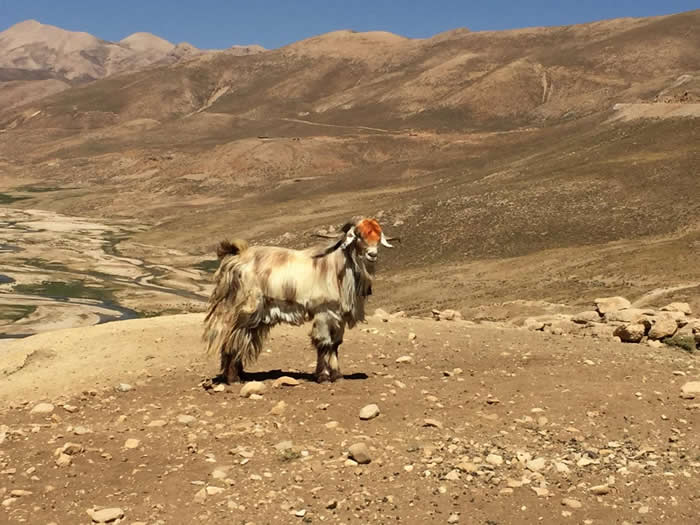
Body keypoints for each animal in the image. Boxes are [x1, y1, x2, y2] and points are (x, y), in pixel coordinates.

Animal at [202, 215, 400, 382]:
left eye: (378, 235)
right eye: (359, 235)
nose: (372, 254)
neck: (336, 267)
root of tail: (237, 257)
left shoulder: (339, 315)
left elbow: (336, 344)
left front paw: (337, 375)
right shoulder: (323, 311)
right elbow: (324, 343)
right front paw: (324, 377)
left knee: (239, 337)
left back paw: (238, 374)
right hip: (245, 307)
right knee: (230, 336)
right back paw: (233, 378)